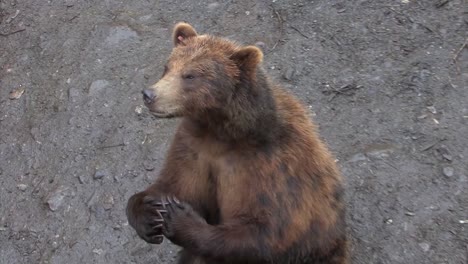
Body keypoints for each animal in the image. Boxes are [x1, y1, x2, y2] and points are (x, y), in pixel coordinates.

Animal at [126, 22, 350, 264]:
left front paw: (179, 219)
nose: (149, 94)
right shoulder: (194, 147)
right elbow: (176, 185)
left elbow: (262, 232)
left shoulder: (269, 170)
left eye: (190, 75)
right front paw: (149, 214)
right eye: (167, 67)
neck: (223, 131)